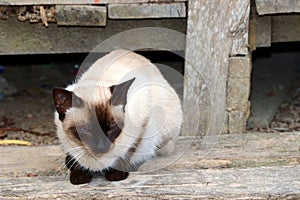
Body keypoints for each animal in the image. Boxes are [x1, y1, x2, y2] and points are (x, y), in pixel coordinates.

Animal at [52, 49, 182, 184]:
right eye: (85, 129)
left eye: (112, 126)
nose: (101, 146)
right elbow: (77, 158)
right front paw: (79, 175)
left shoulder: (143, 122)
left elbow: (128, 151)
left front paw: (116, 174)